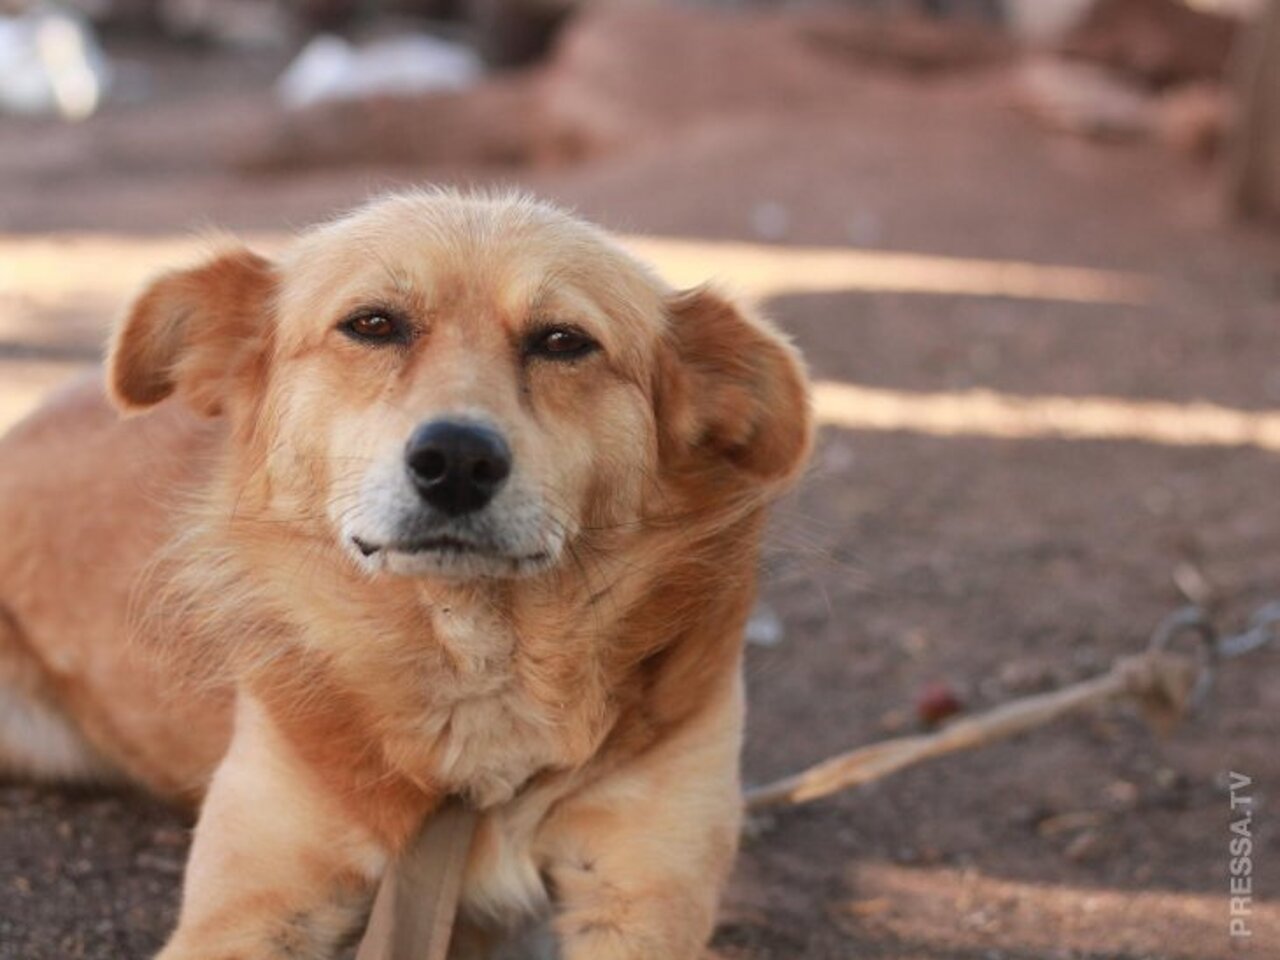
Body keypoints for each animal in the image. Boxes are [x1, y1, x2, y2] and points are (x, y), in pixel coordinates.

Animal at [0, 192, 808, 957]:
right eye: (373, 324)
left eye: (563, 341)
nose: (458, 460)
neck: (477, 663)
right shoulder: (248, 912)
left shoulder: (641, 903)